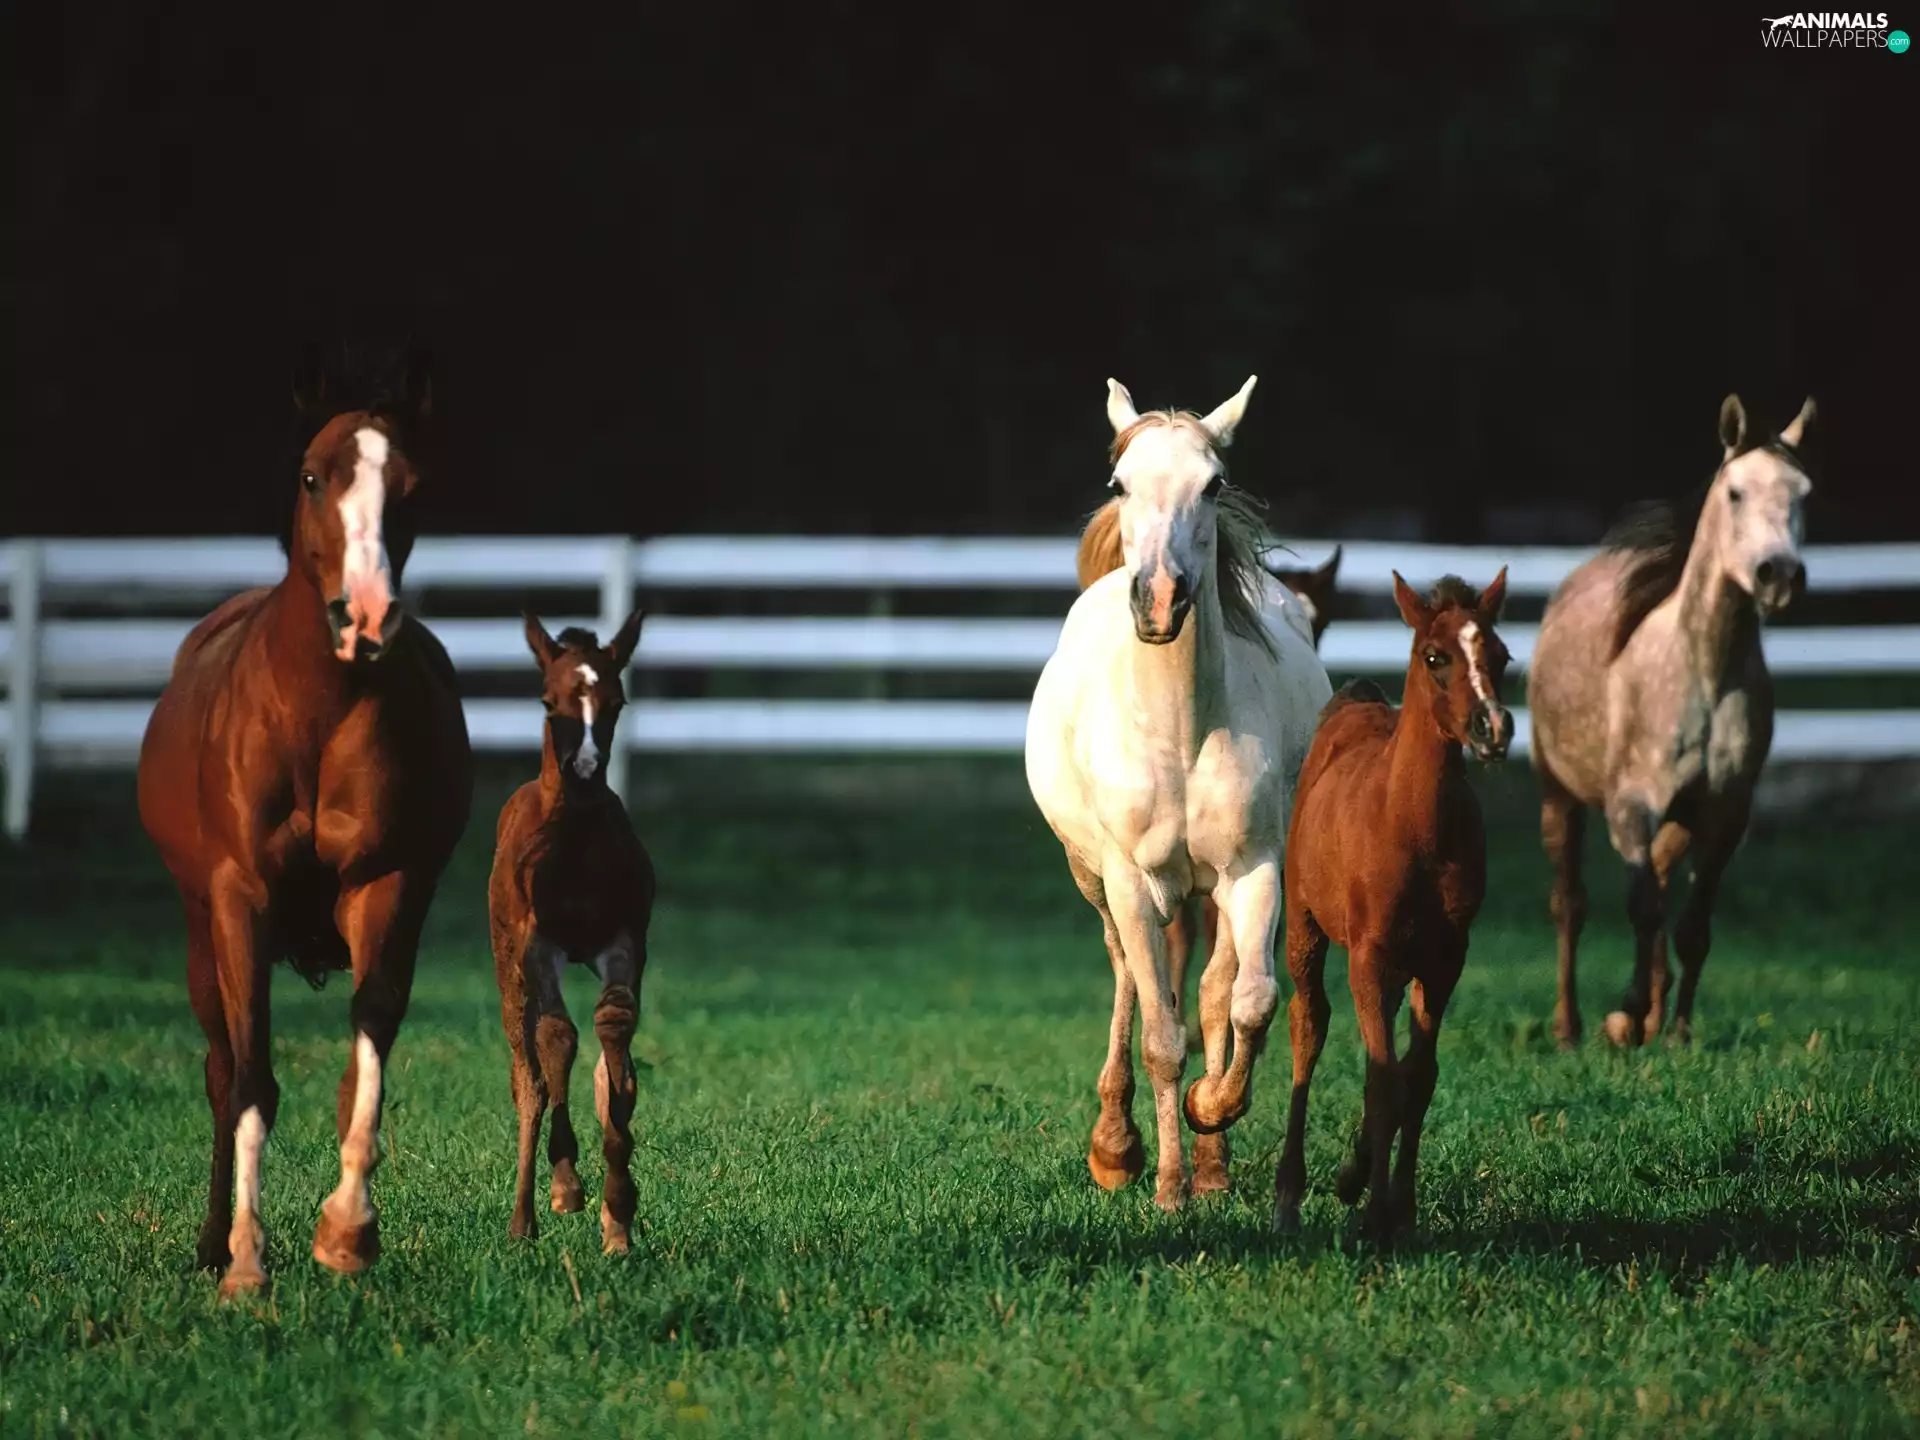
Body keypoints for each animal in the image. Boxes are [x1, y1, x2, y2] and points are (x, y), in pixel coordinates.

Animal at [137, 346, 472, 1297]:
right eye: (314, 476)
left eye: (414, 486)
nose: (364, 616)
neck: (318, 711)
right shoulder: (238, 903)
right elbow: (251, 1081)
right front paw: (245, 1262)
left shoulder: (388, 889)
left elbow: (369, 1052)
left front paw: (347, 1233)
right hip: (199, 937)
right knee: (221, 1072)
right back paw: (213, 1241)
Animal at [489, 611, 653, 1253]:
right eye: (547, 700)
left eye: (616, 702)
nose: (583, 771)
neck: (576, 846)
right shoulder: (539, 944)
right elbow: (556, 1039)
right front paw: (564, 1188)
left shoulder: (624, 940)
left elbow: (614, 1038)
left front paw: (620, 1209)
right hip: (505, 958)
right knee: (525, 1068)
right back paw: (525, 1217)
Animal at [1276, 570, 1513, 1240]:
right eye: (1435, 657)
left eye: (1502, 657)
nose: (1494, 727)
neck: (1412, 824)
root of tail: (1355, 700)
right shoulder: (1369, 952)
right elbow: (1385, 1080)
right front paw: (1377, 1214)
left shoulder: (1445, 959)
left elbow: (1418, 1078)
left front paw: (1395, 1203)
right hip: (1305, 927)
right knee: (1309, 1024)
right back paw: (1289, 1192)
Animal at [1528, 394, 1814, 1048]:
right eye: (1735, 491)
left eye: (1803, 493)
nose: (1779, 574)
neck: (1702, 671)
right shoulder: (1631, 807)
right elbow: (1640, 907)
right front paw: (1628, 1012)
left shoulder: (1725, 813)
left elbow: (1691, 926)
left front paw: (1677, 1031)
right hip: (1559, 795)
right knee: (1569, 904)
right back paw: (1570, 1028)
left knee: (1657, 883)